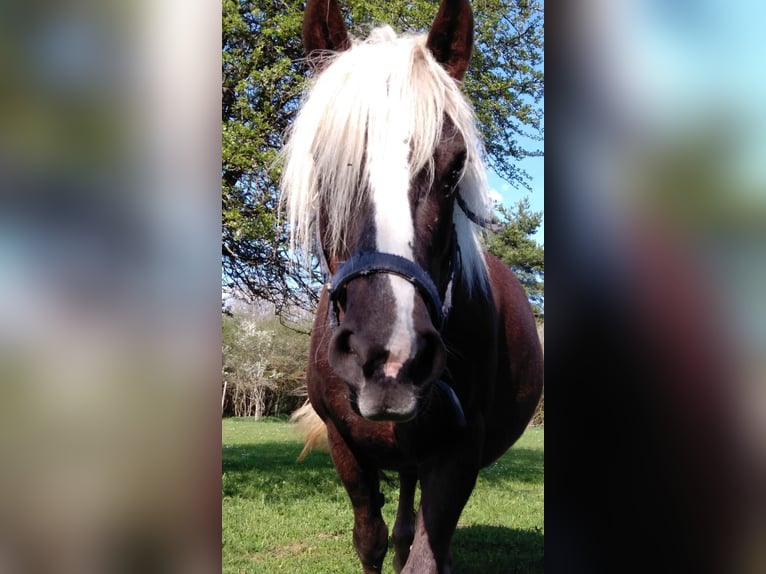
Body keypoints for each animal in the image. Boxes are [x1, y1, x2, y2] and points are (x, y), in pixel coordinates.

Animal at [280, 2, 544, 572]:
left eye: (454, 166)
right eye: (322, 166)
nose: (390, 356)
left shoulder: (457, 455)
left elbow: (425, 553)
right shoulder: (346, 448)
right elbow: (370, 539)